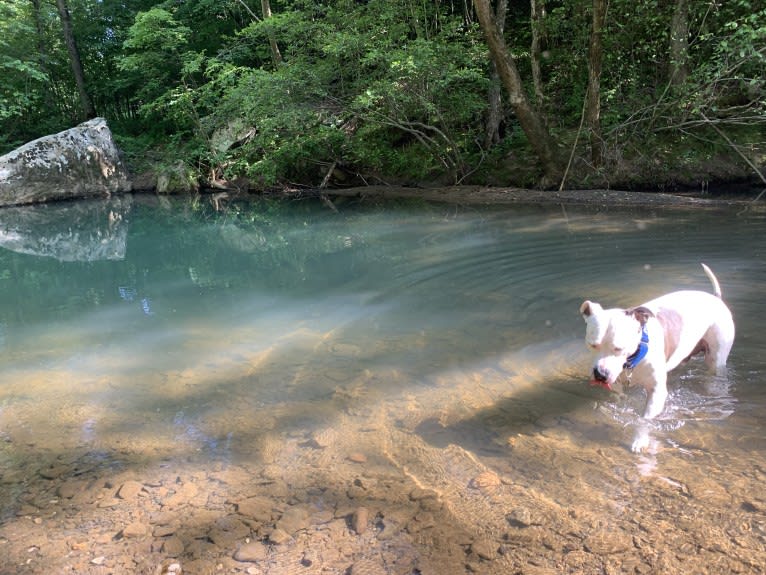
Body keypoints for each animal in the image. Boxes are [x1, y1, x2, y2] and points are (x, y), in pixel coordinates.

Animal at [584, 264, 736, 450]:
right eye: (592, 345)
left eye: (619, 348)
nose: (600, 374)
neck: (633, 358)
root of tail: (716, 299)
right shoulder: (617, 386)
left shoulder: (656, 393)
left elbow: (644, 421)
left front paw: (640, 440)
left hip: (716, 358)